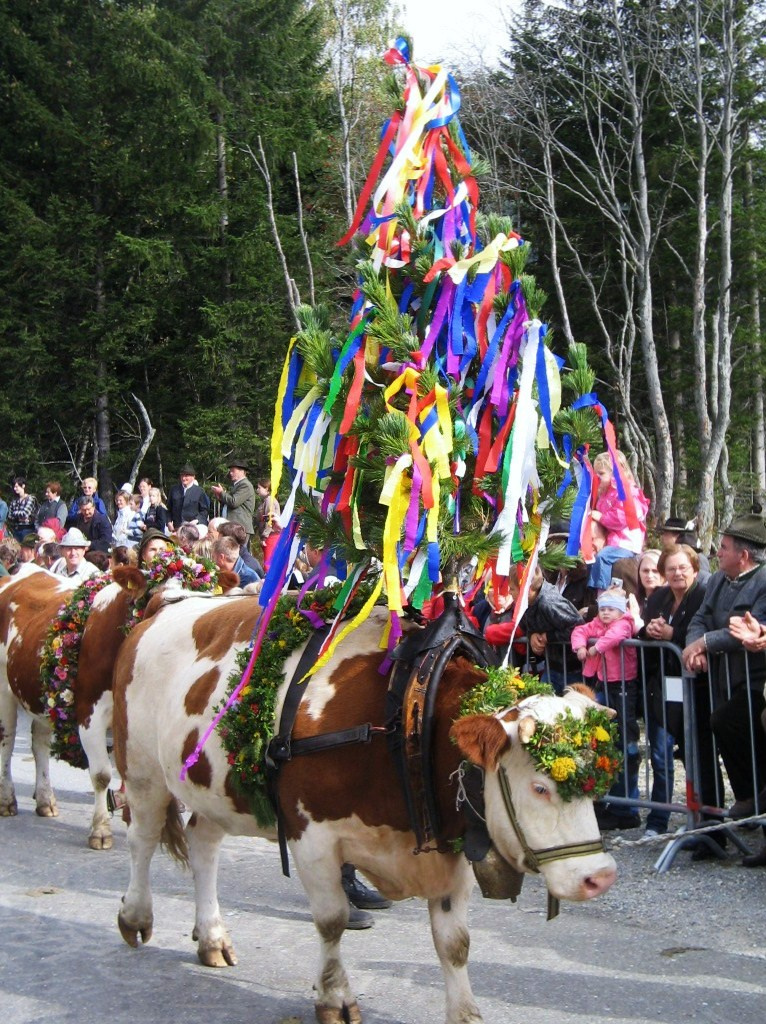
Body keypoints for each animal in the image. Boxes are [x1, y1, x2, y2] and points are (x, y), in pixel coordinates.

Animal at [112, 589, 614, 1024]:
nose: (601, 876)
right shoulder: (311, 835)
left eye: (597, 785)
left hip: (212, 787)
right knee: (142, 838)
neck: (404, 715)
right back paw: (135, 916)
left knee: (202, 844)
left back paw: (212, 938)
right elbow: (332, 921)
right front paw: (335, 999)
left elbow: (455, 943)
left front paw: (465, 1014)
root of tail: (164, 604)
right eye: (540, 787)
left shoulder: (445, 845)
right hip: (141, 768)